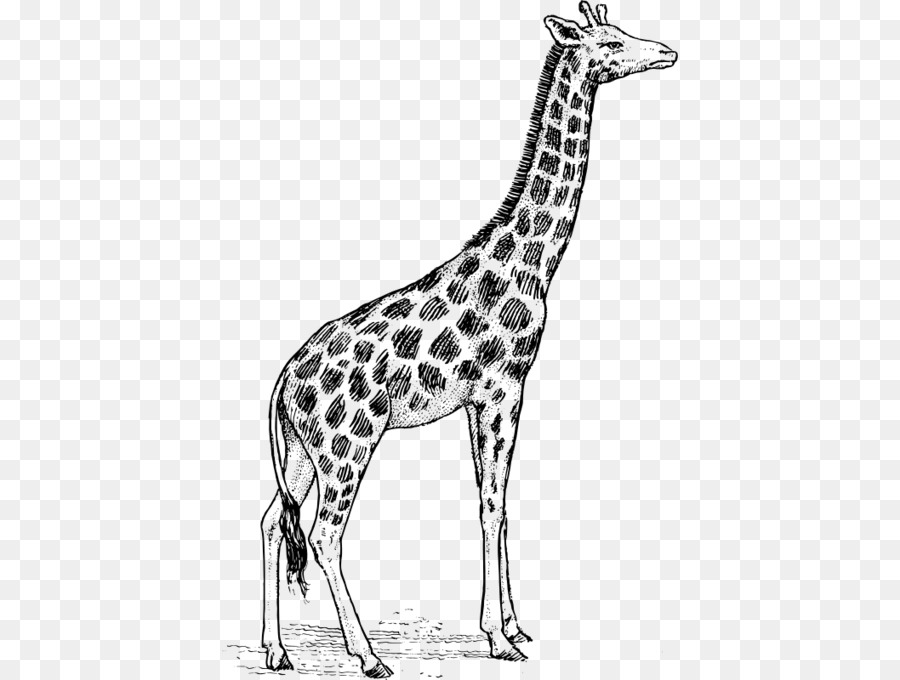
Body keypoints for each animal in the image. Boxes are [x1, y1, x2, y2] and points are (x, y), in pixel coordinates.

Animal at [261, 4, 677, 676]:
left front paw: (514, 625)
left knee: (276, 522)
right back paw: (367, 655)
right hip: (348, 448)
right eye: (612, 43)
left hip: (301, 454)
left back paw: (277, 651)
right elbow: (491, 505)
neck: (534, 263)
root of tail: (281, 388)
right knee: (324, 534)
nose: (666, 51)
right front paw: (498, 639)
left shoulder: (485, 399)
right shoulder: (503, 389)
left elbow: (498, 504)